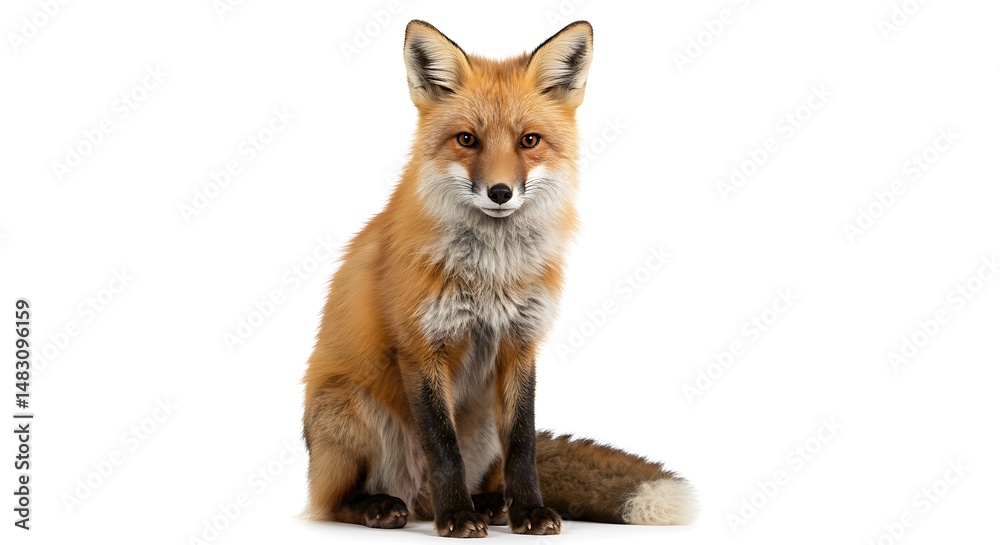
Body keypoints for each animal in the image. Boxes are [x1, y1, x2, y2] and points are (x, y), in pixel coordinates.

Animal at [302, 20, 696, 538]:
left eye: (529, 141)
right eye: (467, 139)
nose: (500, 192)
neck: (493, 273)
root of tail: (417, 499)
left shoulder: (521, 342)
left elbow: (524, 444)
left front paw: (528, 510)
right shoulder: (421, 346)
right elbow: (442, 446)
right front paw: (457, 517)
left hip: (483, 426)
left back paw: (490, 504)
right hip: (345, 410)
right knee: (332, 503)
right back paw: (386, 507)